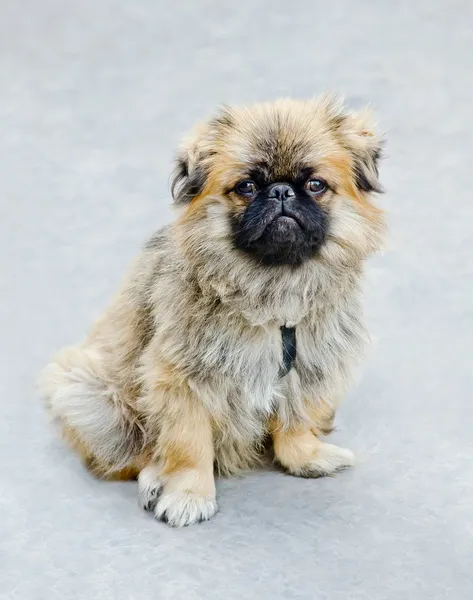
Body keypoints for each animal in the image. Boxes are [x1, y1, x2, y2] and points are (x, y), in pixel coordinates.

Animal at [37, 94, 384, 524]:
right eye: (247, 186)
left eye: (315, 185)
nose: (281, 192)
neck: (272, 286)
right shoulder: (180, 380)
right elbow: (188, 444)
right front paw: (188, 494)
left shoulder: (308, 370)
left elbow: (295, 423)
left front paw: (305, 458)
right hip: (88, 396)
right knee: (138, 454)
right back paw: (155, 477)